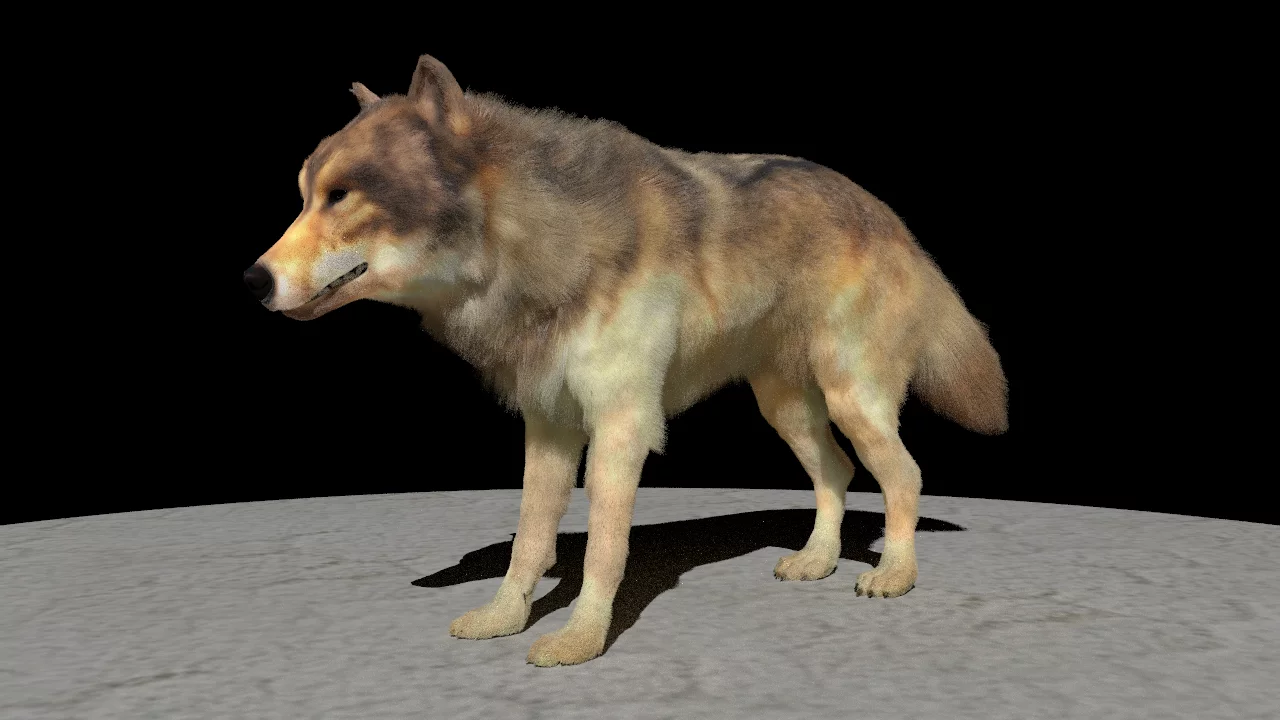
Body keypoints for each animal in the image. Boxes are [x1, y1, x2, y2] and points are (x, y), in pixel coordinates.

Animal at [244, 54, 1008, 667]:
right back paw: (817, 561)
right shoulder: (550, 426)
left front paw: (579, 642)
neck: (538, 245)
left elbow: (603, 552)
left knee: (903, 477)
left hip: (851, 399)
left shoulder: (620, 428)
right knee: (839, 474)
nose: (252, 281)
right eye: (305, 195)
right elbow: (530, 540)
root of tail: (888, 217)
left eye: (340, 196)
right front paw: (504, 619)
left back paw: (895, 576)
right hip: (787, 410)